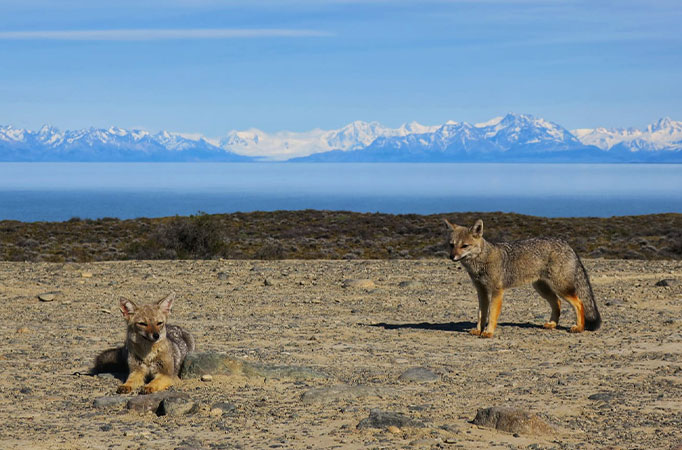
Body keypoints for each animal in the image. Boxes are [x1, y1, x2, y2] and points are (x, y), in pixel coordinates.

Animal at [446, 218, 600, 338]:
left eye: (464, 246)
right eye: (451, 245)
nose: (451, 257)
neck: (482, 261)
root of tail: (567, 244)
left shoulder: (497, 291)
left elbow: (492, 314)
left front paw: (488, 332)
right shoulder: (481, 291)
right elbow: (481, 314)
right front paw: (478, 330)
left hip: (561, 287)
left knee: (579, 303)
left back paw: (579, 327)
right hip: (542, 288)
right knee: (557, 302)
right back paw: (552, 324)